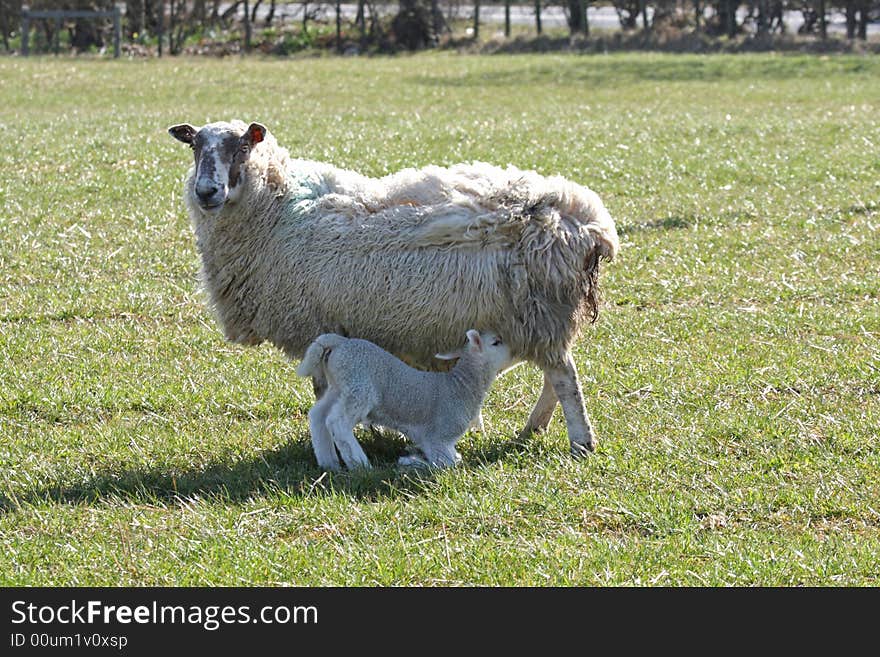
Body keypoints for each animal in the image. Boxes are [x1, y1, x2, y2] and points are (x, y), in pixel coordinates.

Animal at [167, 119, 620, 456]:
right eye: (195, 147)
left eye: (242, 147)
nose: (206, 191)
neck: (278, 211)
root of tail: (587, 220)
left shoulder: (316, 322)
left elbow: (322, 391)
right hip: (541, 316)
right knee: (554, 372)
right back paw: (532, 430)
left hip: (539, 309)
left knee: (564, 377)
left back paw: (581, 441)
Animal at [298, 328, 508, 472]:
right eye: (496, 342)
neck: (460, 386)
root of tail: (339, 343)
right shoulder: (439, 436)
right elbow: (446, 464)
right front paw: (411, 463)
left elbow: (454, 459)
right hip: (359, 387)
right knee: (337, 422)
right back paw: (360, 464)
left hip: (339, 387)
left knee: (318, 416)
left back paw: (329, 463)